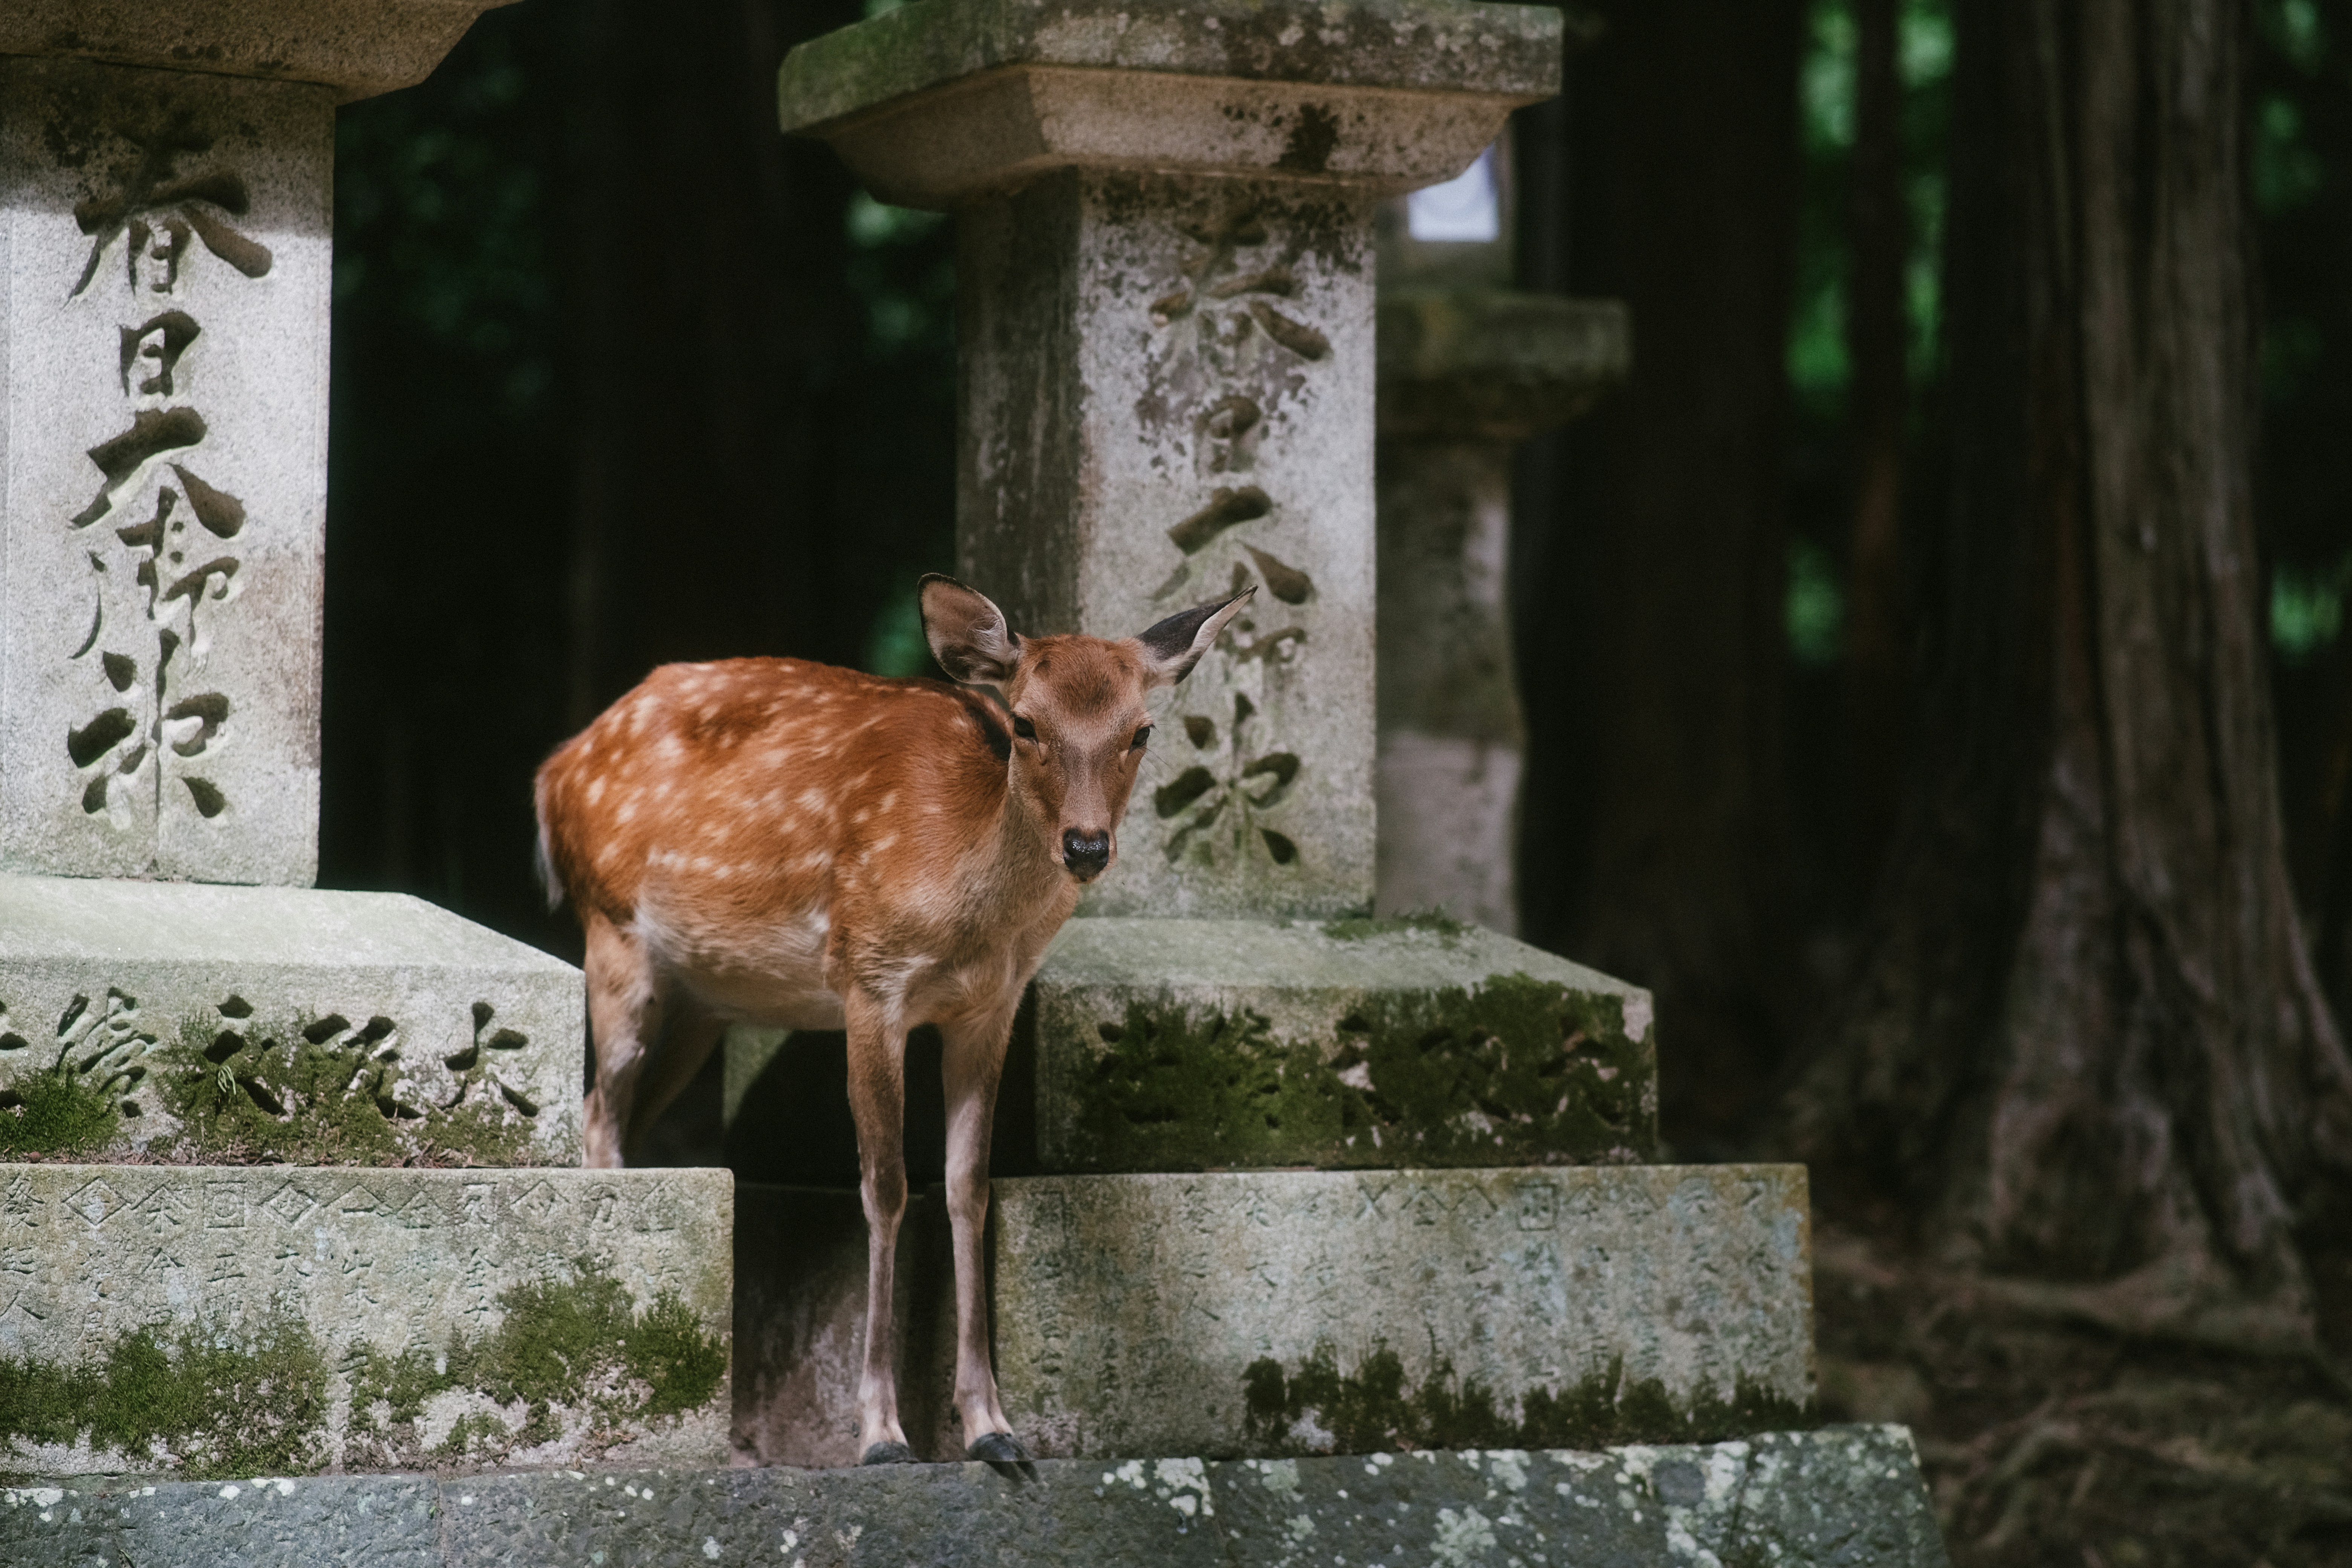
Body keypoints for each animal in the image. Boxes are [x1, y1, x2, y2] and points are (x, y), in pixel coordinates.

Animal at [533, 572, 1252, 1476]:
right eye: (1026, 723)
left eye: (1142, 730)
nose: (1087, 845)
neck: (972, 914)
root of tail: (555, 768)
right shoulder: (869, 980)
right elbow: (884, 1186)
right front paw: (881, 1434)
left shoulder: (990, 1007)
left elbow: (969, 1186)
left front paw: (993, 1427)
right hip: (612, 932)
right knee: (598, 1108)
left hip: (704, 1000)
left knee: (620, 1110)